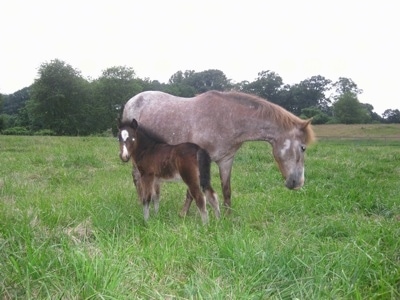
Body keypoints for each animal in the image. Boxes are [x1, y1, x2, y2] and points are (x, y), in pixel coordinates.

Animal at [120, 90, 314, 212]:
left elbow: (226, 190)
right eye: (303, 147)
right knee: (137, 177)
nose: (298, 182)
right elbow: (192, 192)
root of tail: (131, 101)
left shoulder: (226, 160)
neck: (227, 119)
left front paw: (228, 218)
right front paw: (184, 215)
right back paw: (142, 202)